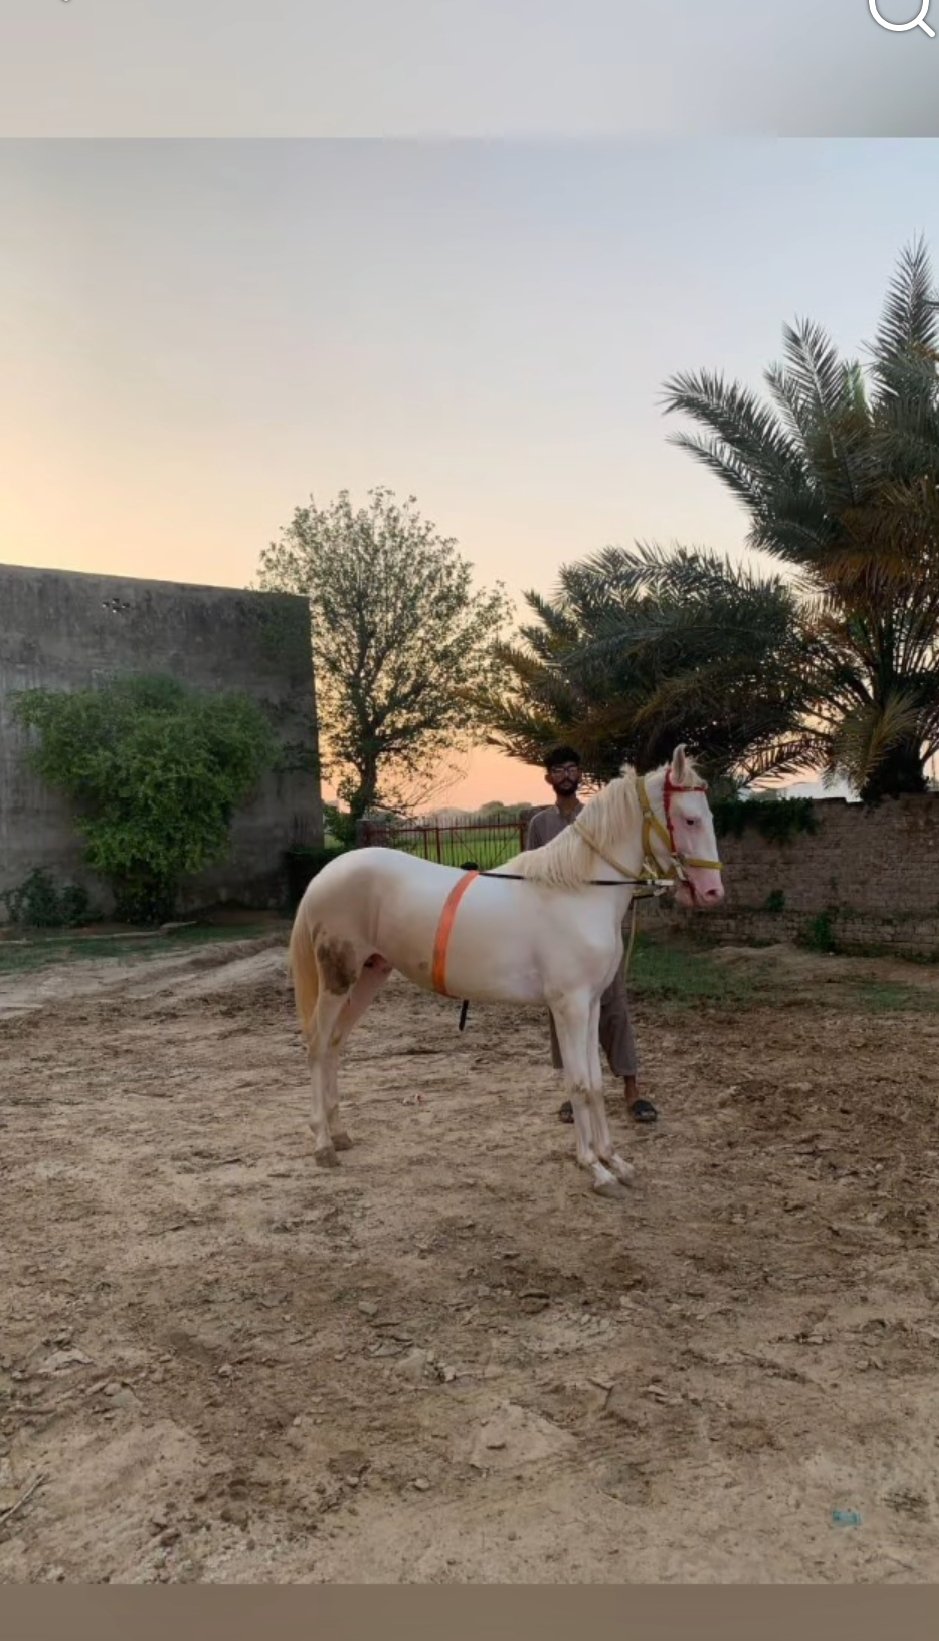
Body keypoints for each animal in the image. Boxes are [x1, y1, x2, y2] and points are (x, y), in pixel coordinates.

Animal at [288, 745, 723, 1199]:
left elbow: (596, 1082)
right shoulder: (569, 1007)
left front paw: (614, 1161)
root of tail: (325, 874)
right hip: (338, 979)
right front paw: (594, 1167)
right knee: (317, 1045)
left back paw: (340, 1134)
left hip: (369, 975)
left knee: (335, 1045)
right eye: (690, 819)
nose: (713, 892)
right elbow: (579, 1083)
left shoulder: (590, 1005)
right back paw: (323, 1144)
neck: (578, 891)